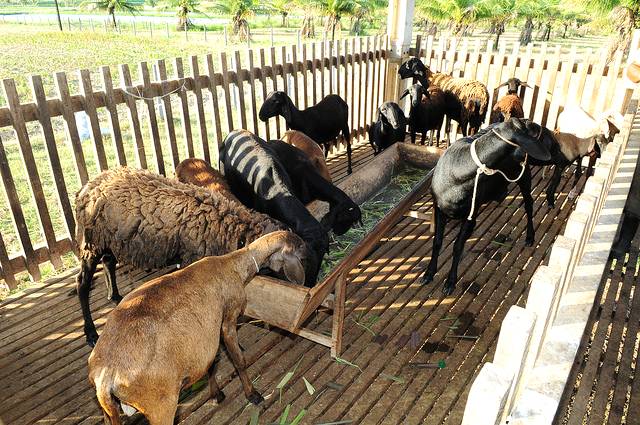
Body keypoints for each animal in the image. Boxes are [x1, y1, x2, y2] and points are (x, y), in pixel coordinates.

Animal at [72, 164, 288, 346]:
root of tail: (87, 185)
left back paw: (115, 296)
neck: (225, 227)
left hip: (110, 239)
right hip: (91, 242)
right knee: (82, 283)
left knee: (108, 263)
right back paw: (90, 333)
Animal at [87, 229, 304, 424]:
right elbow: (238, 360)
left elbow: (212, 363)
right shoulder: (228, 318)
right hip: (160, 406)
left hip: (109, 411)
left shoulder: (208, 334)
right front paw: (253, 395)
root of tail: (106, 375)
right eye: (301, 249)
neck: (234, 264)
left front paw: (216, 394)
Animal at [422, 117, 552, 294]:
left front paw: (450, 282)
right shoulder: (439, 209)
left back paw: (530, 237)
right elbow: (437, 242)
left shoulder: (471, 215)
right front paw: (429, 273)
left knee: (529, 205)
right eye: (537, 132)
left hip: (524, 175)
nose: (553, 143)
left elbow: (457, 246)